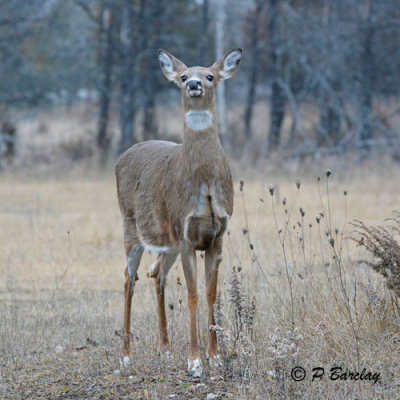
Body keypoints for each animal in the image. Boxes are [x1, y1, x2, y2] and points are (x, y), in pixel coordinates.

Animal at [114, 47, 242, 378]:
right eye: (183, 76)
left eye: (210, 75)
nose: (194, 84)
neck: (204, 182)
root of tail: (121, 157)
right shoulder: (186, 235)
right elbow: (194, 295)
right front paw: (195, 362)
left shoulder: (217, 236)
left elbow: (211, 295)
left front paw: (215, 357)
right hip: (130, 225)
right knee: (128, 278)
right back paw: (126, 355)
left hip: (166, 241)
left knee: (156, 274)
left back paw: (166, 349)